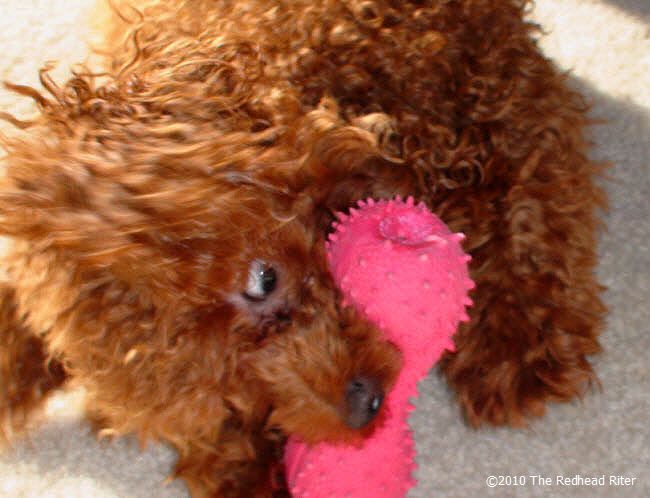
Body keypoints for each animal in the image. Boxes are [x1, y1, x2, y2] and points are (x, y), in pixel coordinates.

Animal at [0, 0, 604, 496]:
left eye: (263, 279)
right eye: (230, 400)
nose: (363, 409)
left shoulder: (509, 93)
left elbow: (528, 199)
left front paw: (519, 348)